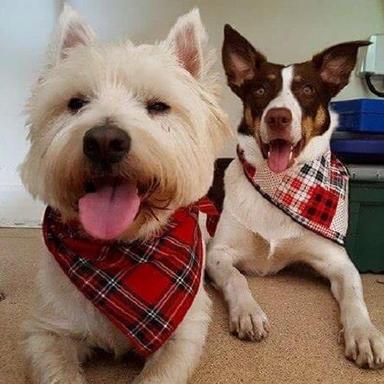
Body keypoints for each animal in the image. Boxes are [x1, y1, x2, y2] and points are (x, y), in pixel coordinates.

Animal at [21, 6, 230, 384]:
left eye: (159, 106)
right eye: (76, 103)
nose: (104, 141)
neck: (120, 254)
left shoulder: (182, 335)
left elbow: (160, 373)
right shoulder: (46, 332)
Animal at [207, 24, 384, 368]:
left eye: (308, 90)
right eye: (261, 90)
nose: (278, 117)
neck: (281, 184)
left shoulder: (339, 262)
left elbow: (355, 295)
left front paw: (365, 333)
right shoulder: (218, 253)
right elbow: (236, 277)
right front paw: (248, 312)